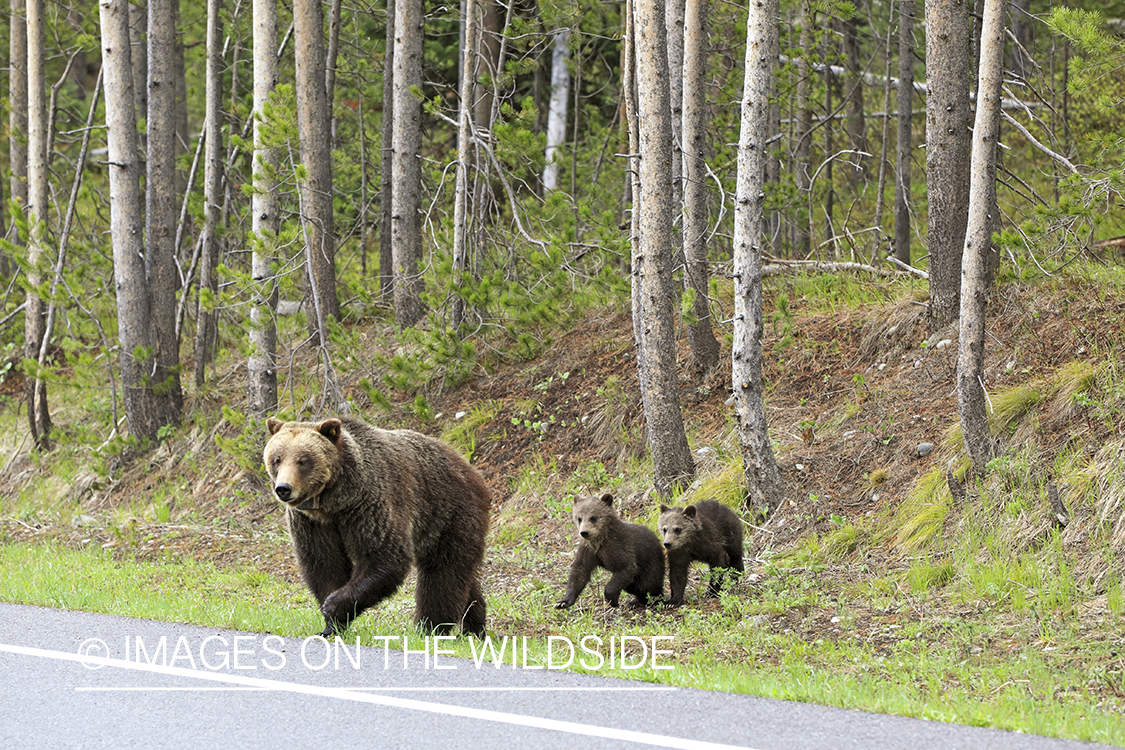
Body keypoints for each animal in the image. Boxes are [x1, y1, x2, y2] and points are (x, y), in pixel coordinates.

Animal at [263, 416, 490, 638]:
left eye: (303, 460)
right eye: (277, 459)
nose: (283, 488)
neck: (334, 502)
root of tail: (470, 468)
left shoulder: (369, 504)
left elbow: (384, 557)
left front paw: (333, 606)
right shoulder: (311, 522)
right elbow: (324, 562)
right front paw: (331, 624)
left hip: (449, 512)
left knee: (442, 574)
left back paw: (430, 628)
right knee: (461, 579)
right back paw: (473, 628)